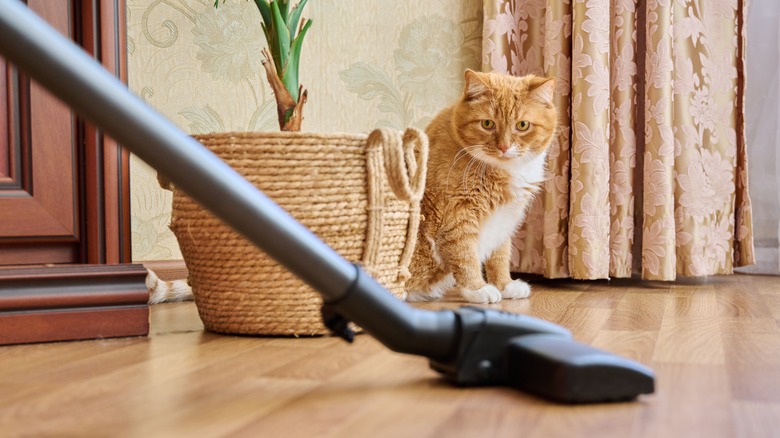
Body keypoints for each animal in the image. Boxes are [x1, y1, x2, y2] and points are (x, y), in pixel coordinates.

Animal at [406, 70, 556, 302]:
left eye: (522, 125)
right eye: (487, 124)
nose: (504, 147)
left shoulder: (505, 218)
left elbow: (500, 255)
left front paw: (505, 284)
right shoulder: (458, 216)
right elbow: (465, 256)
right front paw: (477, 288)